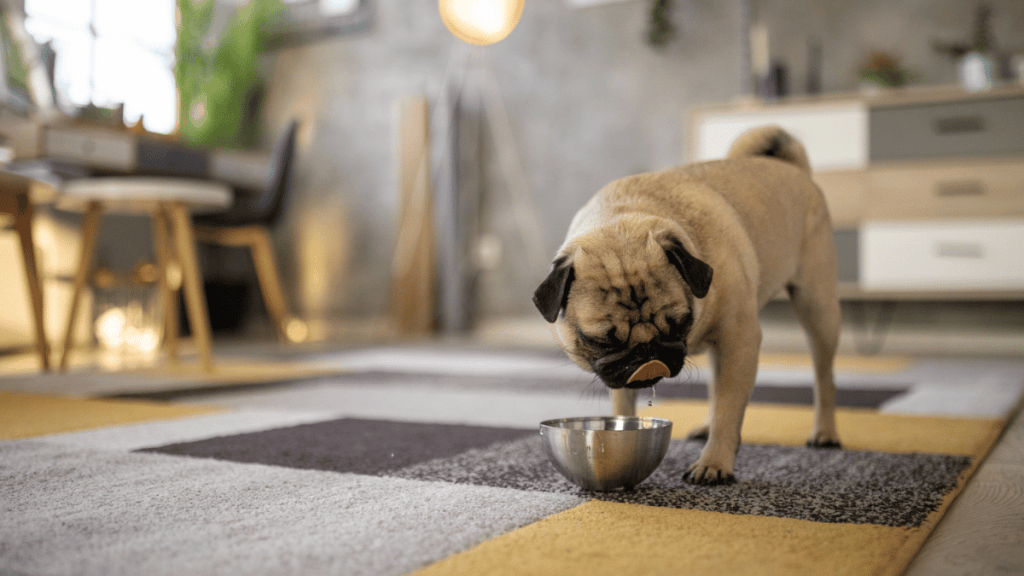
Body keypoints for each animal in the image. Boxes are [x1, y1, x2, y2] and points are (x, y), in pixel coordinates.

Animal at [536, 126, 839, 483]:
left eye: (679, 323)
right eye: (600, 341)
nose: (646, 351)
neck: (621, 219)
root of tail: (794, 169)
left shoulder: (741, 339)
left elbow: (729, 410)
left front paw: (715, 462)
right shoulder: (620, 371)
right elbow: (626, 403)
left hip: (817, 306)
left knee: (822, 375)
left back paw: (825, 432)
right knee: (718, 386)